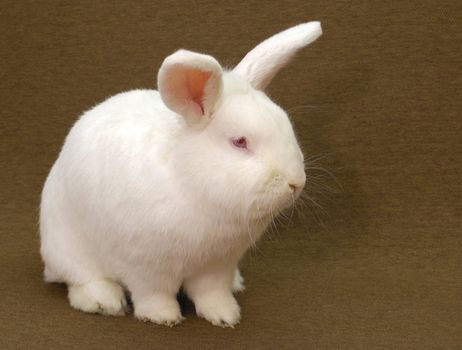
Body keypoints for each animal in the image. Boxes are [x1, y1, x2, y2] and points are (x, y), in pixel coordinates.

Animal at [38, 21, 322, 328]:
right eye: (240, 142)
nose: (296, 183)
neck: (189, 181)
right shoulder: (145, 265)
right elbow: (153, 293)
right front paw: (163, 317)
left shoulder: (218, 264)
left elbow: (212, 293)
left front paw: (225, 316)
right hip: (69, 248)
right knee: (81, 279)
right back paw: (105, 302)